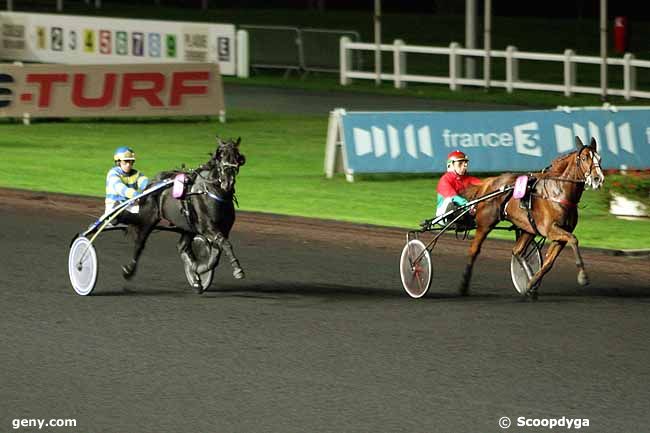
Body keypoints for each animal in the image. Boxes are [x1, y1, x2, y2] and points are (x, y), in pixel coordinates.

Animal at [119, 137, 246, 288]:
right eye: (220, 156)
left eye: (237, 158)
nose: (228, 182)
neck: (214, 193)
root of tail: (152, 182)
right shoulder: (208, 228)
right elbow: (225, 244)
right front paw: (238, 269)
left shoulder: (223, 229)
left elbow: (216, 255)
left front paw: (199, 269)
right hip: (149, 219)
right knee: (140, 242)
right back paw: (129, 270)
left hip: (187, 226)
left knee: (182, 246)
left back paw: (195, 277)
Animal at [456, 137, 604, 298]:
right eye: (584, 158)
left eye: (599, 158)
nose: (598, 179)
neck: (558, 192)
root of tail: (487, 183)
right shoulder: (551, 229)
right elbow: (574, 240)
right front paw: (583, 277)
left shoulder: (560, 233)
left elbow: (548, 262)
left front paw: (531, 284)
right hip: (485, 224)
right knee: (474, 251)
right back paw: (463, 286)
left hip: (529, 228)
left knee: (517, 251)